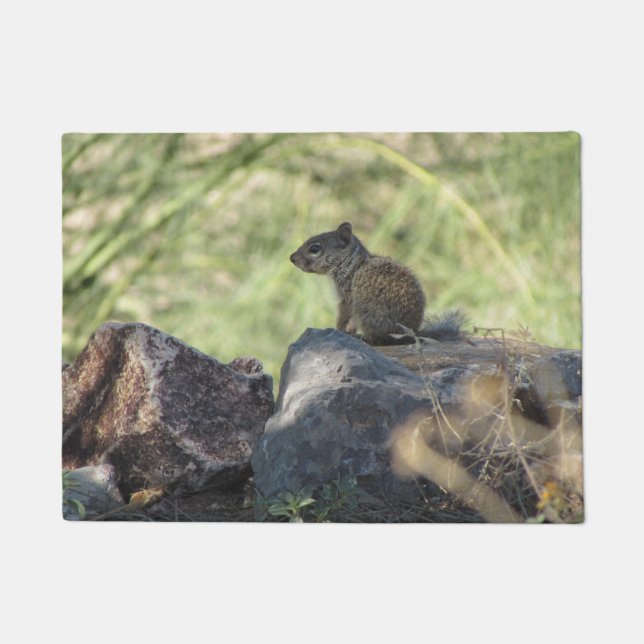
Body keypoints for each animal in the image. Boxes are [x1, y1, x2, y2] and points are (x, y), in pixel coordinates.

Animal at [289, 221, 468, 345]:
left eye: (315, 248)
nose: (292, 258)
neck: (352, 263)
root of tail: (412, 334)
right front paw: (347, 330)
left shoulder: (347, 296)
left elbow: (343, 315)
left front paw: (338, 330)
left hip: (368, 315)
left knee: (376, 339)